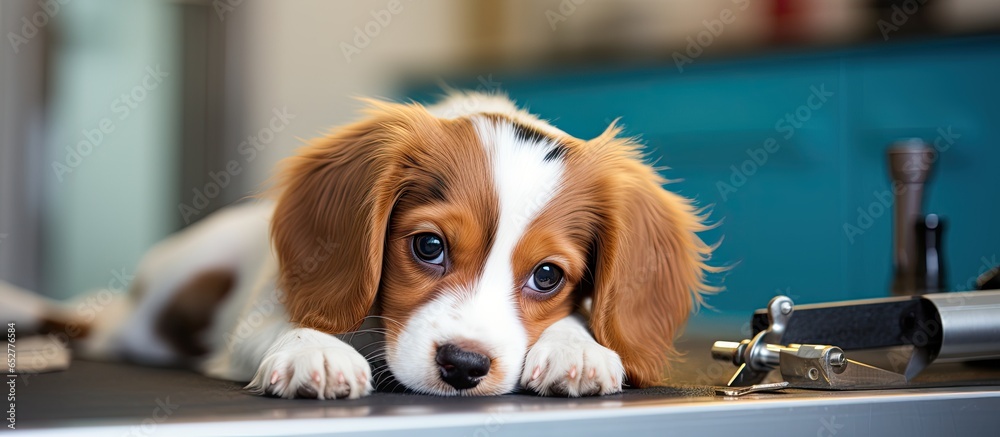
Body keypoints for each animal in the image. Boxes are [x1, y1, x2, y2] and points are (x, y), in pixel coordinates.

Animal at [7, 93, 716, 398]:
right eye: (428, 246)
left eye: (547, 276)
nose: (464, 367)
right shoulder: (256, 318)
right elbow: (289, 326)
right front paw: (315, 352)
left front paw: (579, 348)